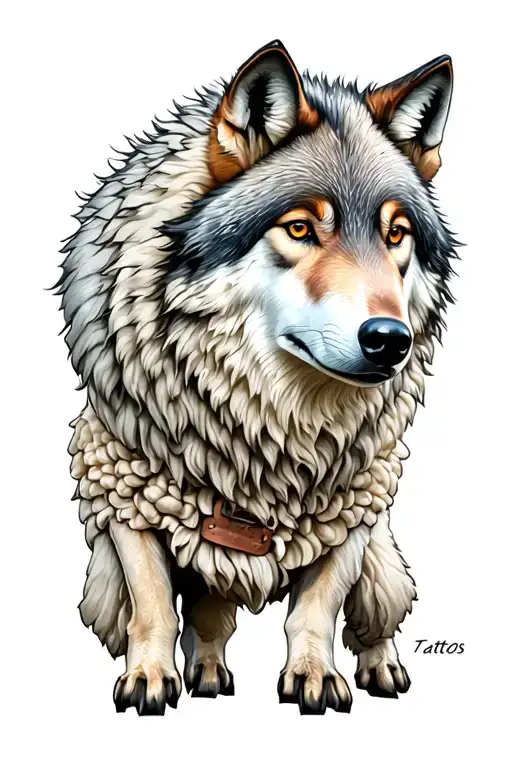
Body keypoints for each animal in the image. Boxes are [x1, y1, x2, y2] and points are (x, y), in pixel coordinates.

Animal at [58, 40, 457, 715]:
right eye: (299, 228)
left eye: (395, 233)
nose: (389, 341)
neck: (272, 423)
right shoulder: (125, 491)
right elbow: (153, 606)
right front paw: (149, 679)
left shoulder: (354, 508)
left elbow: (316, 610)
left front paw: (314, 676)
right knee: (208, 617)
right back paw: (207, 674)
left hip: (383, 558)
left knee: (375, 614)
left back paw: (381, 668)